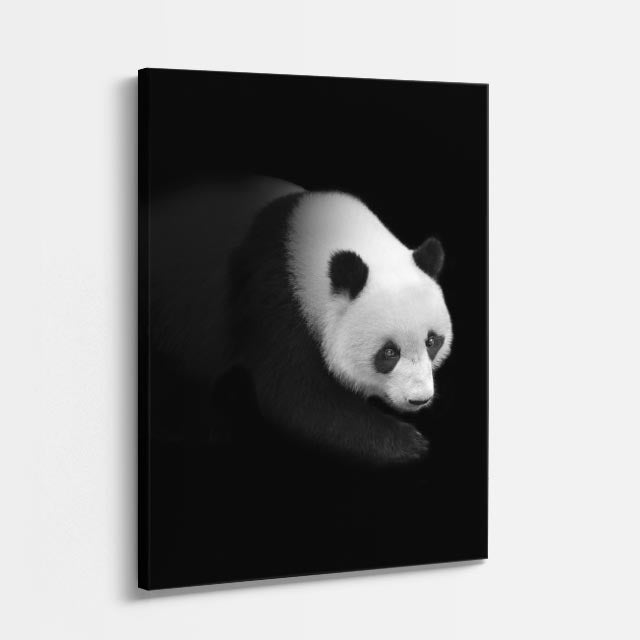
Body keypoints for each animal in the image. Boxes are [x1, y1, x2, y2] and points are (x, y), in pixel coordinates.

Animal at [227, 186, 453, 465]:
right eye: (389, 352)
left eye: (432, 342)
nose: (419, 398)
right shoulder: (274, 305)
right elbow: (298, 398)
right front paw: (409, 442)